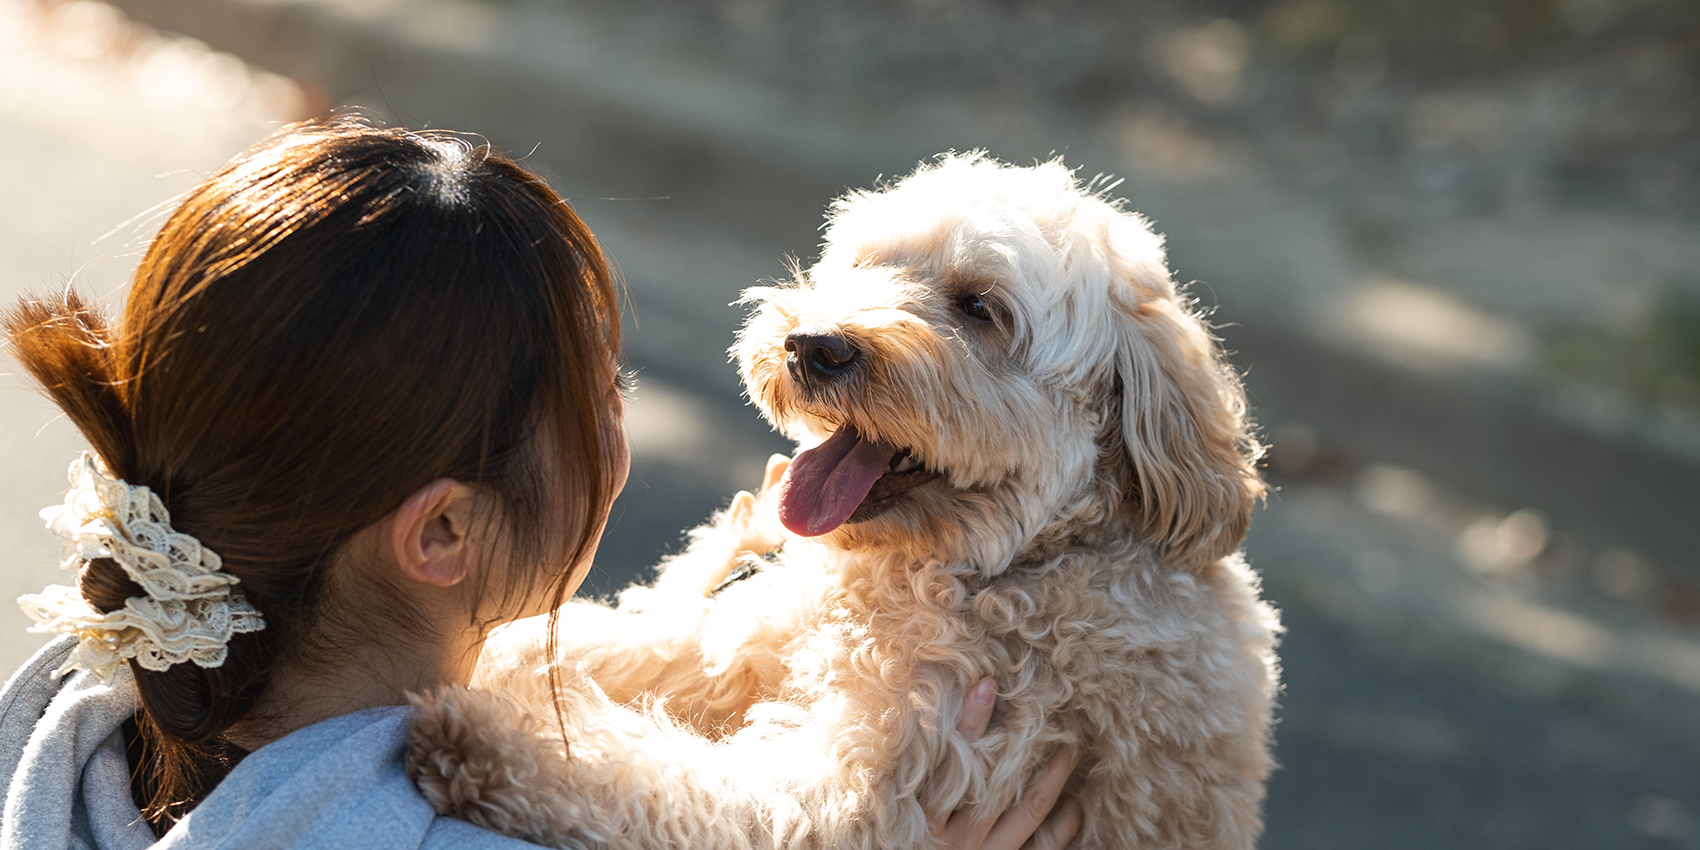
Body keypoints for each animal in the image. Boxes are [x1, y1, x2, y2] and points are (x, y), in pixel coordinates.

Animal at [408, 154, 1278, 850]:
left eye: (980, 307)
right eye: (860, 265)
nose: (812, 346)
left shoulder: (864, 789)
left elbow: (670, 784)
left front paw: (499, 734)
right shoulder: (745, 635)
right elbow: (604, 641)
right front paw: (504, 664)